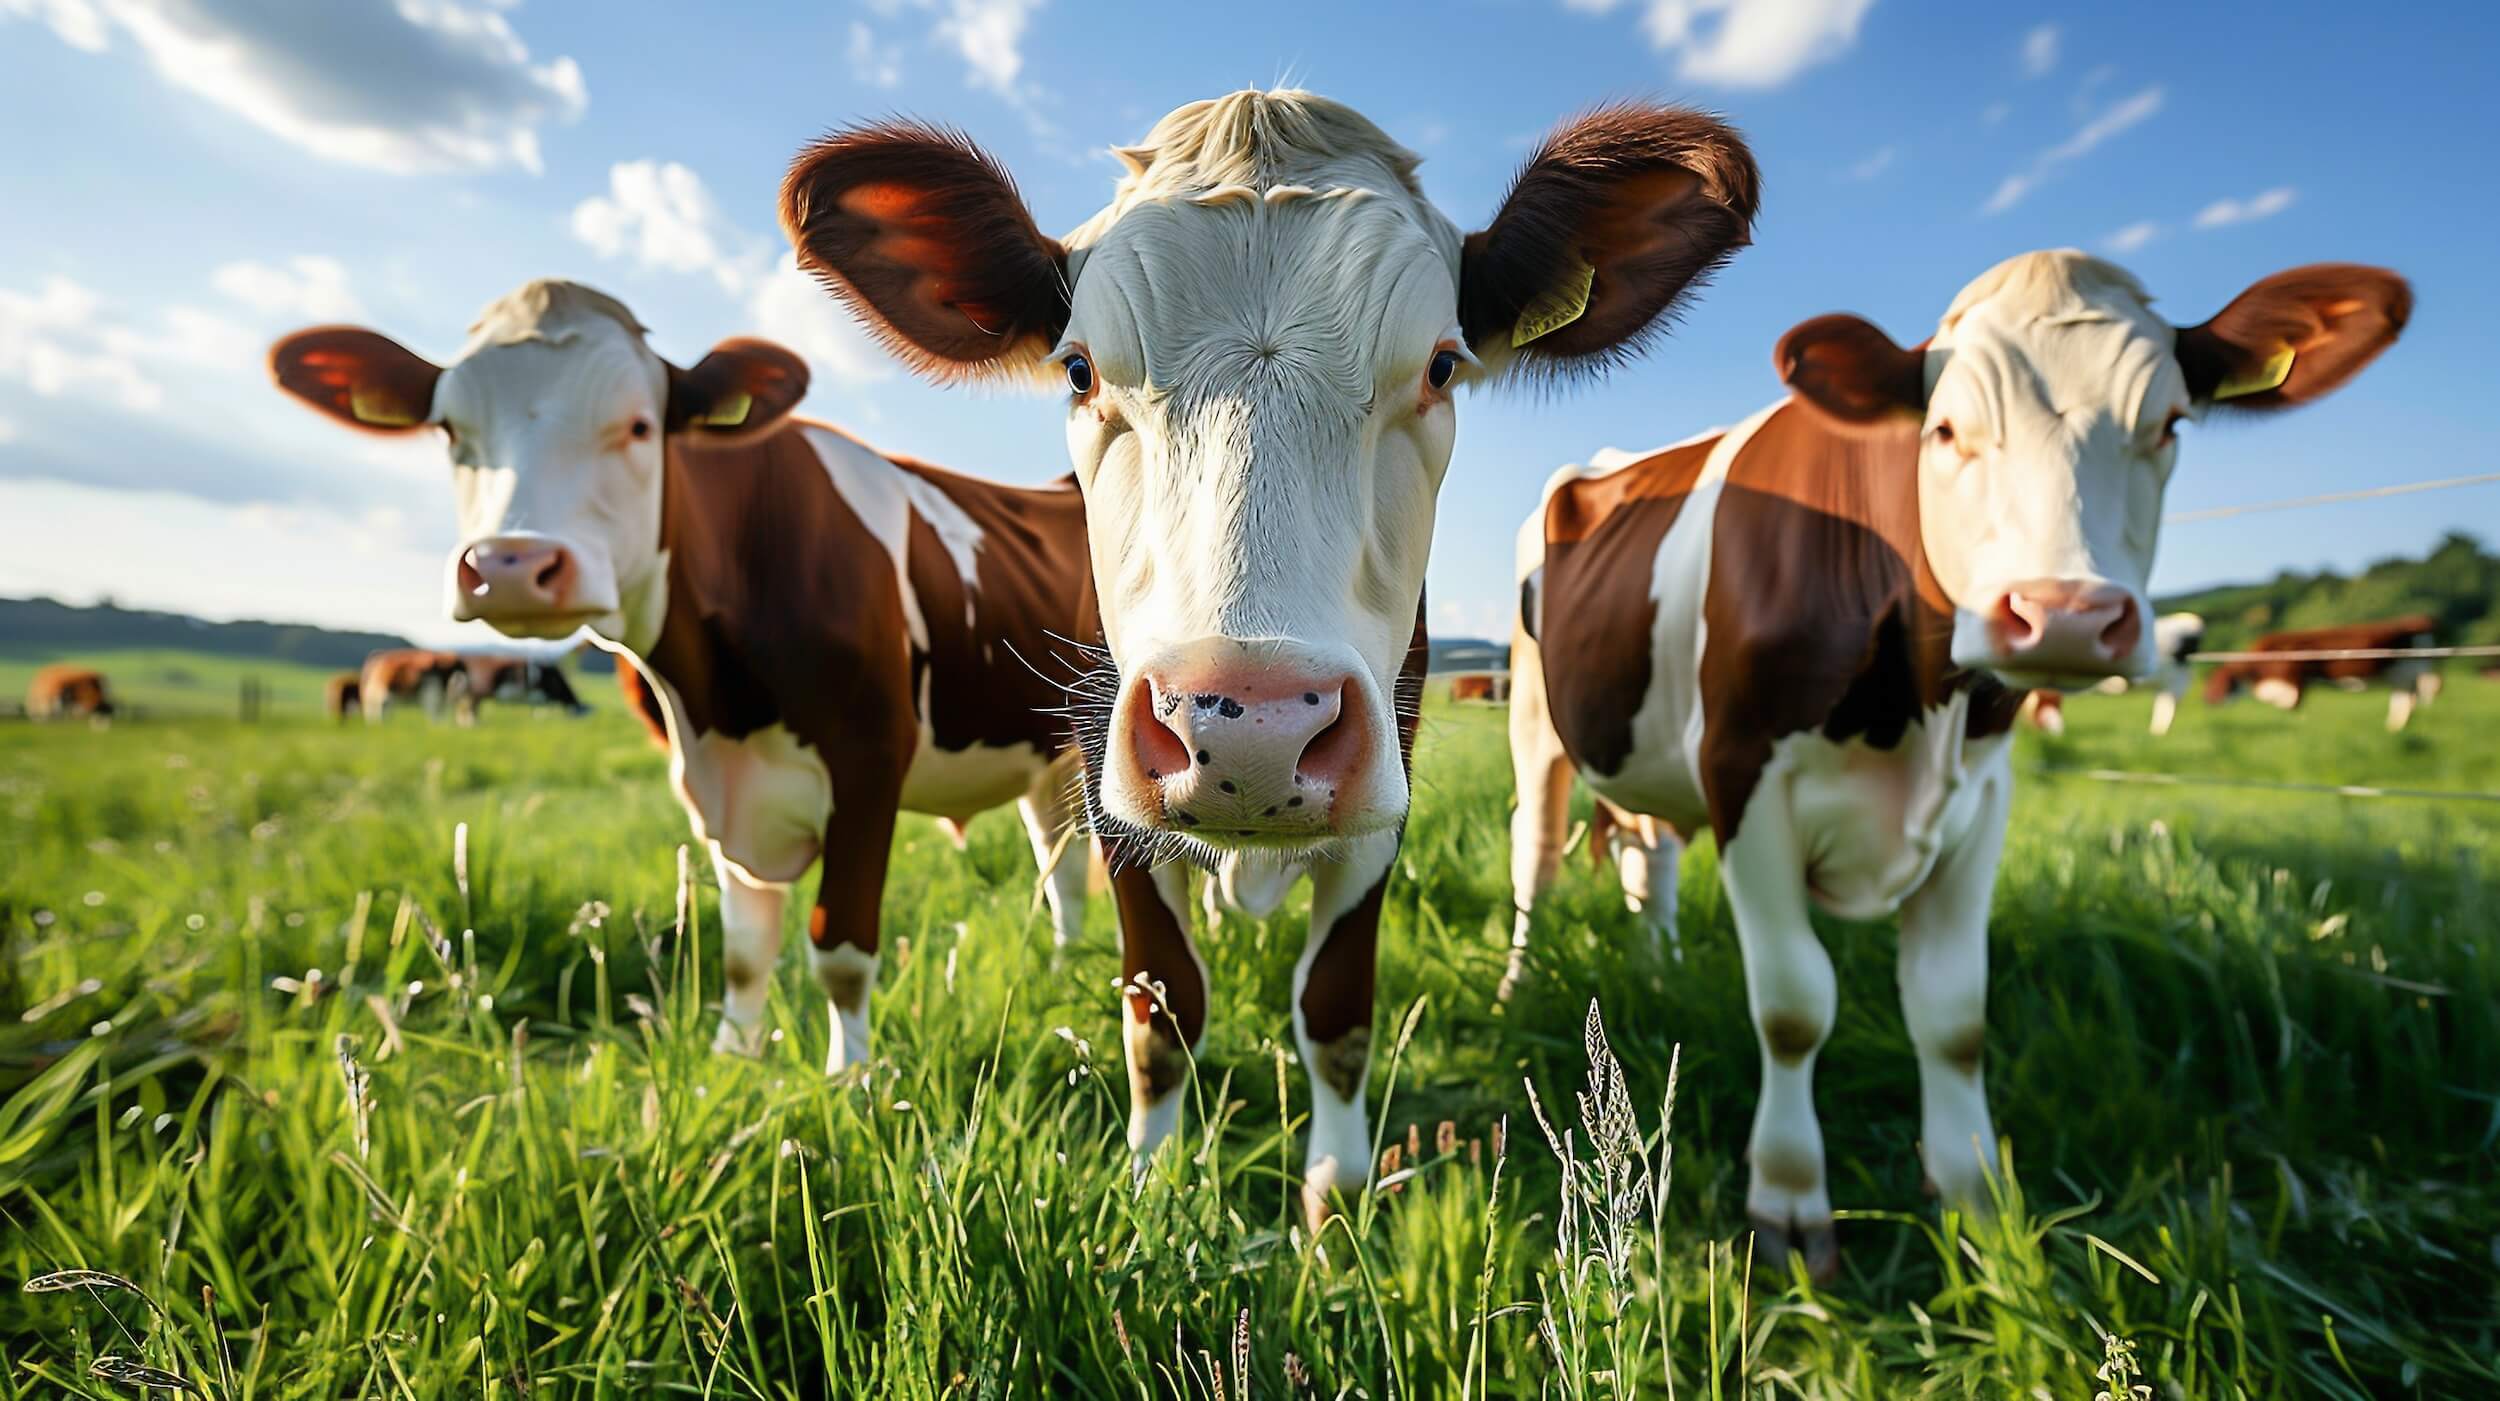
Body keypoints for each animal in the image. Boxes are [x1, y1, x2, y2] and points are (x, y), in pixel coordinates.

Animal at [273, 278, 1095, 1065]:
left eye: (640, 426)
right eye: (449, 430)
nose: (510, 567)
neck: (717, 703)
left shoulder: (868, 765)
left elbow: (840, 951)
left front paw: (851, 1079)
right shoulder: (719, 790)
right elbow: (744, 951)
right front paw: (733, 1062)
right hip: (1049, 753)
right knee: (1062, 865)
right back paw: (1061, 968)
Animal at [780, 90, 1760, 1225]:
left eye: (1441, 365)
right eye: (1078, 368)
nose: (1250, 729)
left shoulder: (1388, 792)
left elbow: (1335, 1012)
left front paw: (1333, 1199)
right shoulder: (1108, 788)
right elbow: (1160, 1008)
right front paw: (1152, 1179)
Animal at [2210, 612, 2440, 735]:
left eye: (2223, 682)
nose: (2210, 700)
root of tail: (2421, 619)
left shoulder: (2295, 677)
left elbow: (2294, 706)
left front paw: (2299, 727)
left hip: (2409, 671)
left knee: (2411, 699)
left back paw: (2396, 728)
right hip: (2401, 675)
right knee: (2406, 701)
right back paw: (2394, 728)